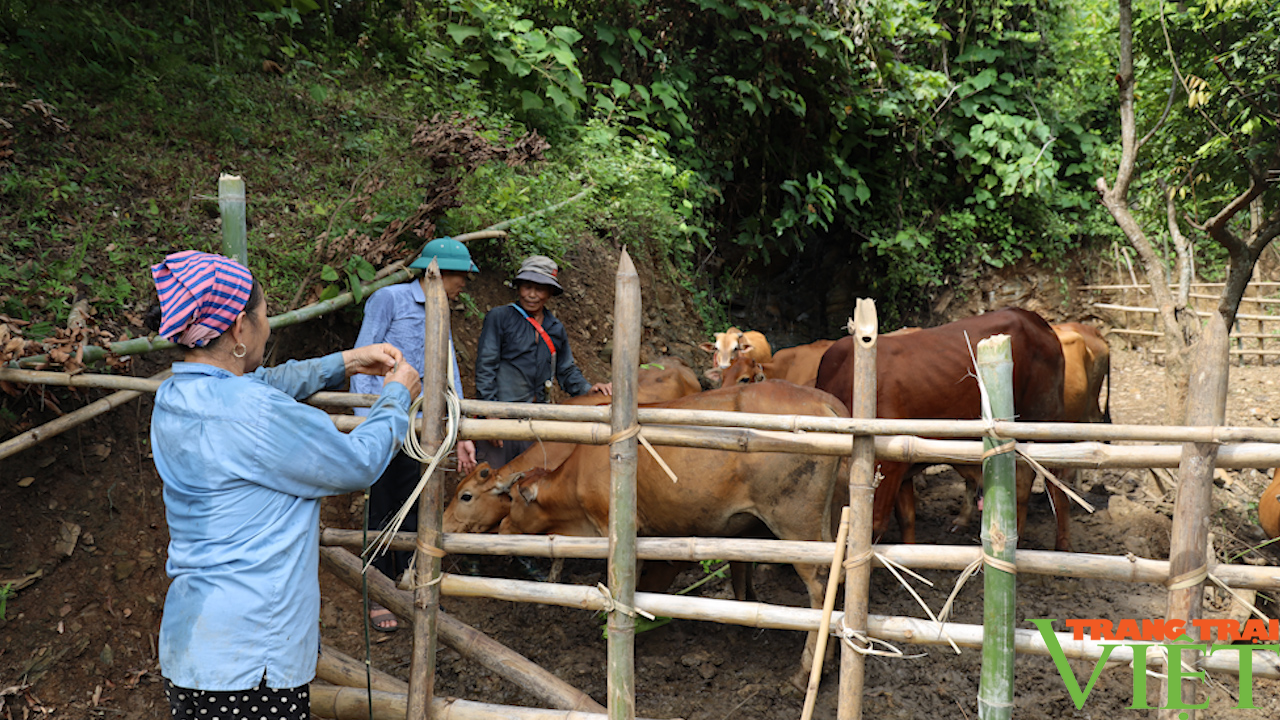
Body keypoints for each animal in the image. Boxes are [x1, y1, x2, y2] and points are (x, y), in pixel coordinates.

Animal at [499, 384, 849, 676]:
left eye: (514, 498)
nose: (501, 527)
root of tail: (824, 399)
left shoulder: (621, 528)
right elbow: (740, 571)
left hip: (794, 519)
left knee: (819, 582)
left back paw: (807, 669)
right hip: (828, 516)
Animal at [814, 304, 1075, 545]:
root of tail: (1034, 319)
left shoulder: (887, 468)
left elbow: (876, 526)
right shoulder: (903, 465)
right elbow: (907, 517)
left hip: (1046, 419)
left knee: (1055, 482)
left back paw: (1060, 546)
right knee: (1022, 479)